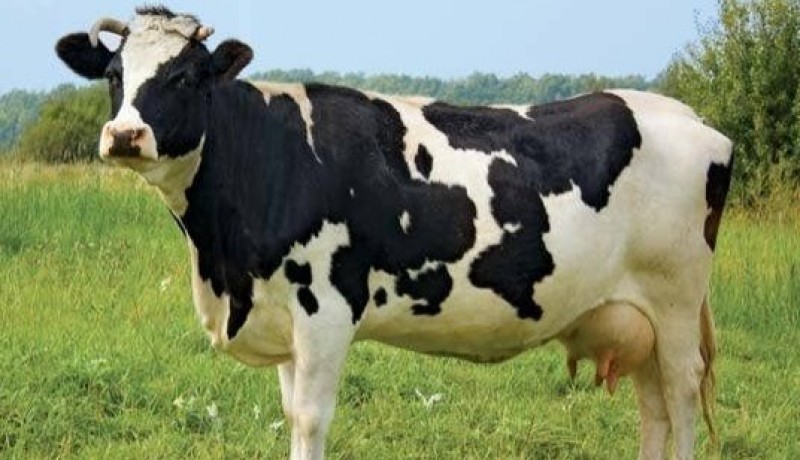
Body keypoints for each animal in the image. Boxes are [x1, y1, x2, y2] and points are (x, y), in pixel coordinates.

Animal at [55, 7, 733, 460]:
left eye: (187, 77)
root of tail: (689, 115)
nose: (124, 135)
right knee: (653, 407)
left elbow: (308, 420)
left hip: (674, 303)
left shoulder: (325, 311)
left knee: (679, 398)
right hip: (636, 313)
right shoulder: (282, 318)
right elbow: (288, 412)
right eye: (114, 74)